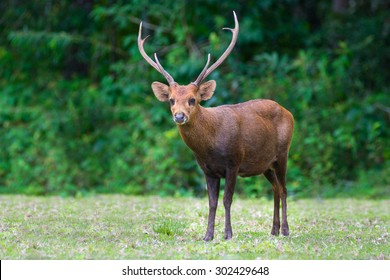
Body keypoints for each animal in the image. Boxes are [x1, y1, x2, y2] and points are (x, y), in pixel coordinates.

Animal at [139, 12, 294, 242]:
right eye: (171, 100)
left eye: (193, 100)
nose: (179, 116)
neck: (209, 146)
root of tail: (288, 112)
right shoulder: (207, 170)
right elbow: (211, 203)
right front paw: (208, 235)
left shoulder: (234, 162)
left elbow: (227, 200)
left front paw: (228, 234)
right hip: (265, 163)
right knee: (275, 188)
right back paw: (273, 230)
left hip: (283, 152)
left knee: (284, 189)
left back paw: (285, 230)